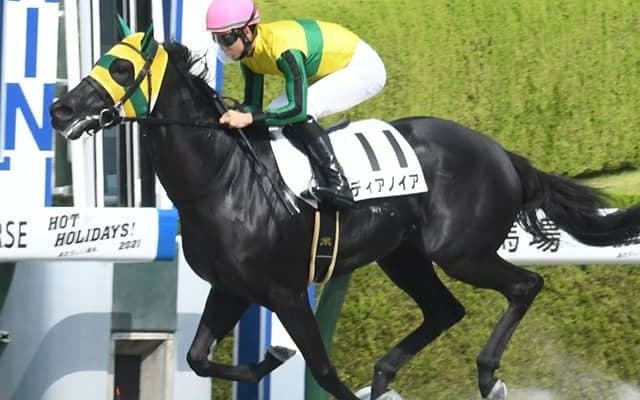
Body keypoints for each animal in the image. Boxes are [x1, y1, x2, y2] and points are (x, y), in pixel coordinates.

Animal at [49, 26, 640, 400]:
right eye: (99, 57)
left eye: (120, 65)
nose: (60, 108)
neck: (222, 179)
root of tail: (501, 152)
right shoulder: (233, 287)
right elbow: (198, 357)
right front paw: (267, 360)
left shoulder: (286, 291)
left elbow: (325, 370)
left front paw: (284, 360)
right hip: (404, 256)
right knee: (445, 311)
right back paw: (383, 377)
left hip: (460, 251)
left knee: (524, 286)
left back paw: (489, 376)